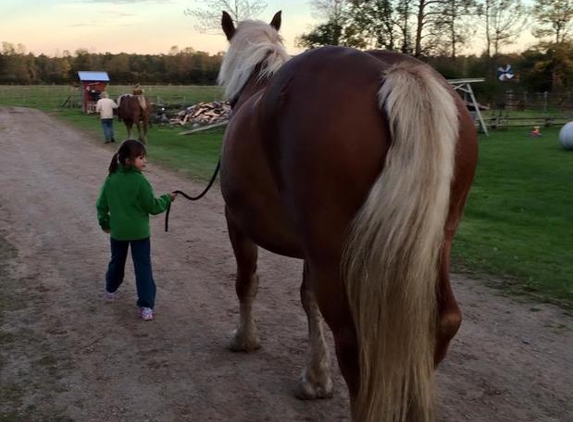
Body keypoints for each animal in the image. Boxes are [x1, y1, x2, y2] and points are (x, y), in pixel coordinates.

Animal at [219, 10, 478, 422]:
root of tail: (396, 73)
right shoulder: (310, 248)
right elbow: (307, 298)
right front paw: (316, 378)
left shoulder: (237, 222)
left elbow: (247, 282)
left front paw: (245, 339)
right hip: (435, 245)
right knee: (443, 322)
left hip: (333, 251)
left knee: (354, 342)